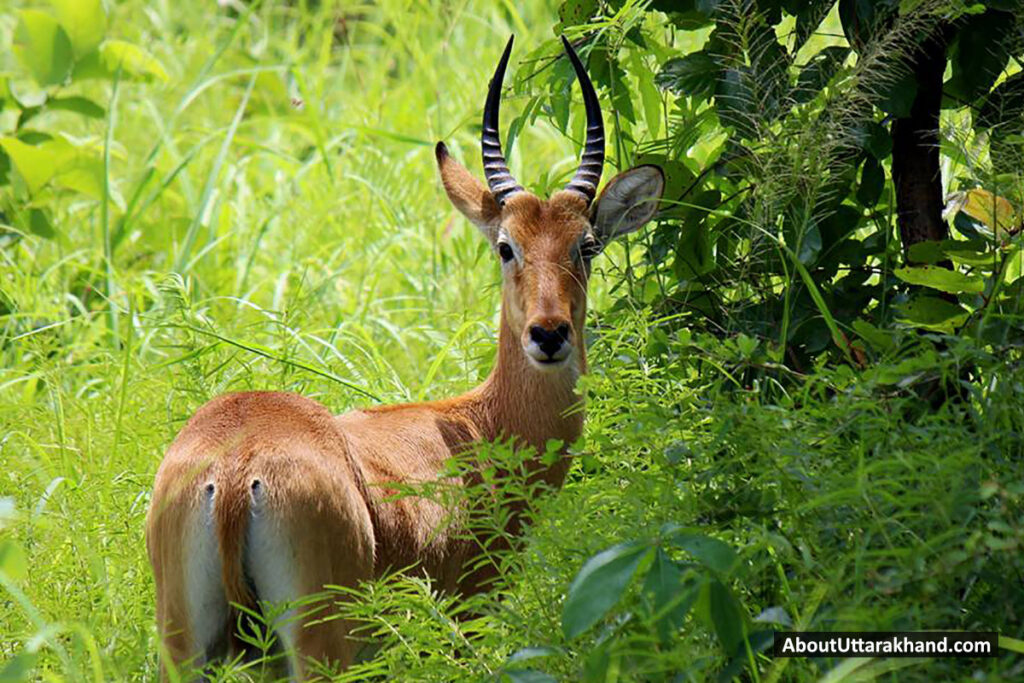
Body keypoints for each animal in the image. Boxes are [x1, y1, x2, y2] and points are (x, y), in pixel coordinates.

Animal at [148, 36, 663, 679]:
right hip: (321, 649)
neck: (480, 425)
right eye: (506, 246)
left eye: (585, 245)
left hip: (187, 649)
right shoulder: (472, 617)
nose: (549, 334)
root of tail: (238, 469)